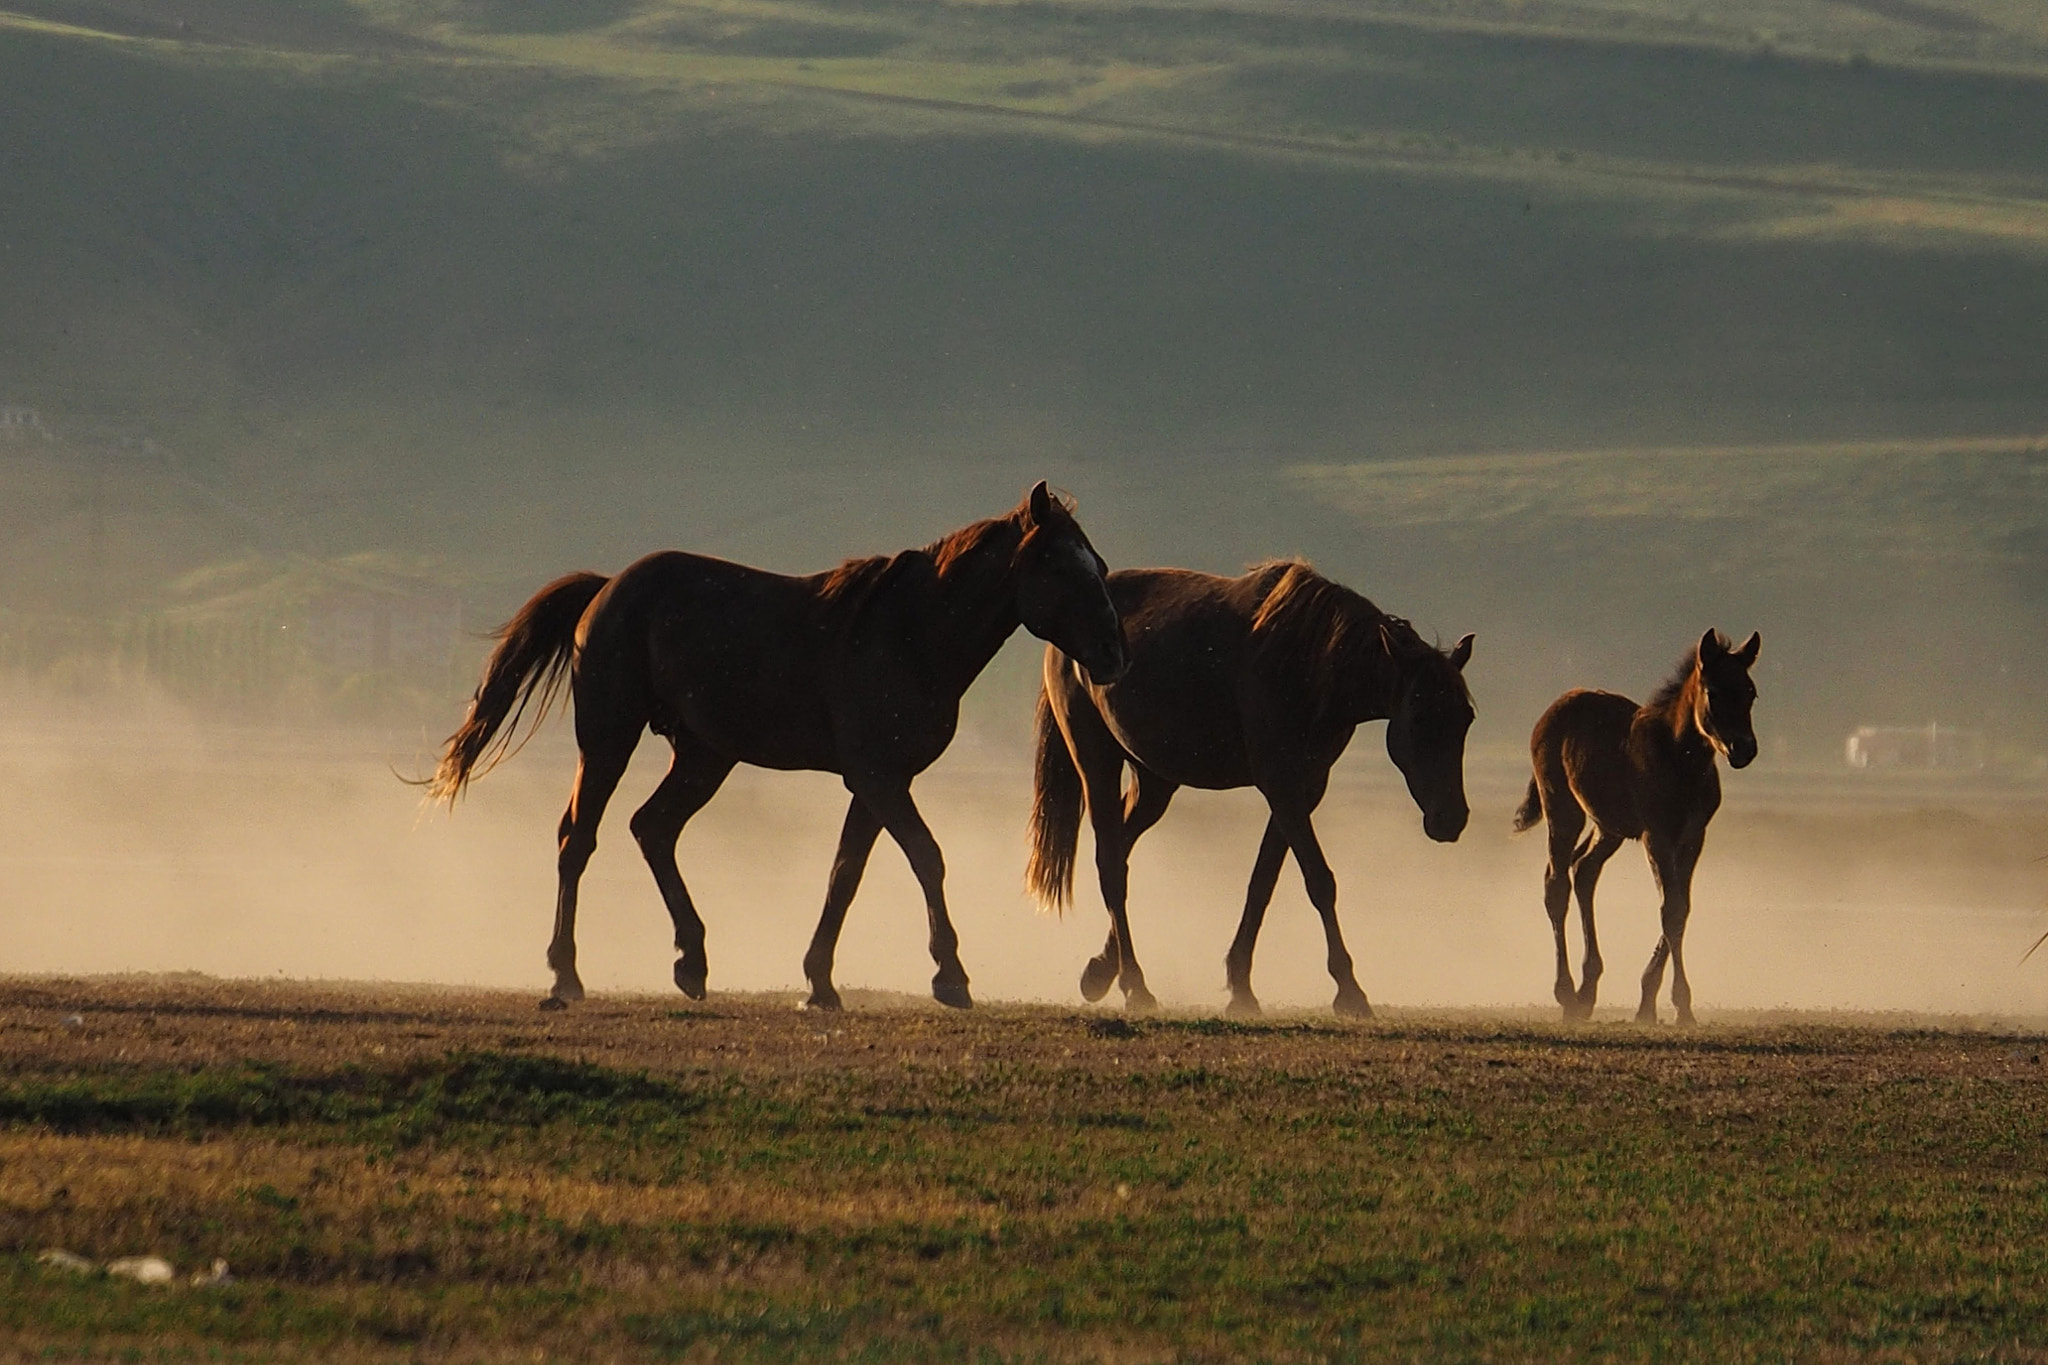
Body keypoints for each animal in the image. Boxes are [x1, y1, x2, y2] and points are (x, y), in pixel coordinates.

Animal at [425, 482, 1127, 1012]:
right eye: (1059, 565)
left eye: (1099, 565)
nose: (1114, 653)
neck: (911, 633)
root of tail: (606, 589)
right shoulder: (879, 779)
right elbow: (927, 859)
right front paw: (950, 977)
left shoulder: (875, 784)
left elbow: (845, 874)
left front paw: (820, 983)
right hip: (608, 743)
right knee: (578, 838)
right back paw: (566, 975)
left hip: (704, 757)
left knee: (652, 827)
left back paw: (692, 961)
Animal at [1026, 560, 1475, 1017]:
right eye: (1418, 717)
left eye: (1466, 718)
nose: (1450, 819)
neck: (1309, 661)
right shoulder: (1282, 786)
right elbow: (1319, 881)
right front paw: (1350, 990)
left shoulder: (1303, 790)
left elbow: (1262, 884)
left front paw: (1241, 986)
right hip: (1095, 760)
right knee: (1112, 865)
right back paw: (1135, 986)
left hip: (1154, 781)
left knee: (1119, 847)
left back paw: (1101, 970)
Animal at [1513, 629, 1761, 1025]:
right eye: (1714, 692)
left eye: (1750, 692)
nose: (1744, 749)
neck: (1682, 760)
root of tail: (1551, 710)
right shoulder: (1656, 835)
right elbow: (1670, 908)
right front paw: (1677, 1005)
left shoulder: (1693, 837)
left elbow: (1681, 907)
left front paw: (1653, 1003)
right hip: (1563, 807)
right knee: (1557, 883)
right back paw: (1567, 994)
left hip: (1609, 826)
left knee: (1584, 871)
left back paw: (1587, 992)